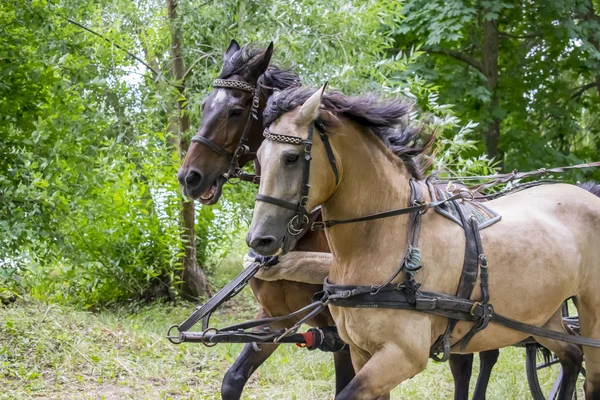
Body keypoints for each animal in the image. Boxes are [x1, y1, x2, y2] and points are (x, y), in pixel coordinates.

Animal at [245, 86, 600, 398]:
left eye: (291, 158)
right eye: (259, 156)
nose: (259, 240)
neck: (384, 238)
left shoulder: (402, 355)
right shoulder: (361, 352)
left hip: (590, 314)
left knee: (590, 378)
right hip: (540, 317)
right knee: (571, 356)